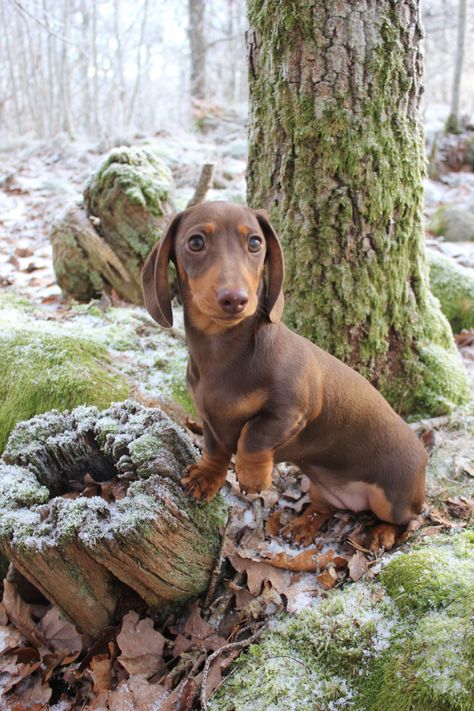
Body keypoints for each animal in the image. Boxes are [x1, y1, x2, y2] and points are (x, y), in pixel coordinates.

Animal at [143, 202, 428, 544]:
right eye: (195, 242)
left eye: (255, 242)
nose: (235, 299)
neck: (221, 352)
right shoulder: (209, 418)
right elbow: (215, 449)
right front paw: (207, 476)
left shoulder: (291, 410)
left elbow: (254, 434)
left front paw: (252, 476)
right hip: (323, 488)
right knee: (325, 508)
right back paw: (304, 525)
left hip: (393, 499)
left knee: (409, 518)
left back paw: (382, 533)